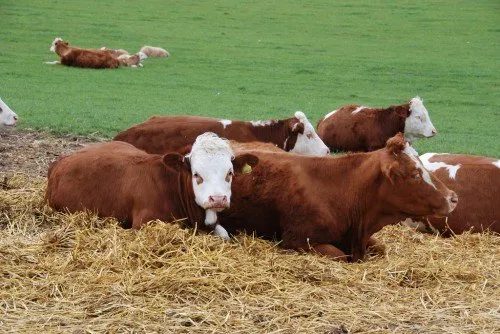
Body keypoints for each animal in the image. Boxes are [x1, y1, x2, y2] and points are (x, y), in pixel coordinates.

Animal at [44, 132, 258, 239]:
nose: (218, 199)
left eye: (229, 173)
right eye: (196, 174)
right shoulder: (145, 222)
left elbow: (225, 235)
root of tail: (60, 160)